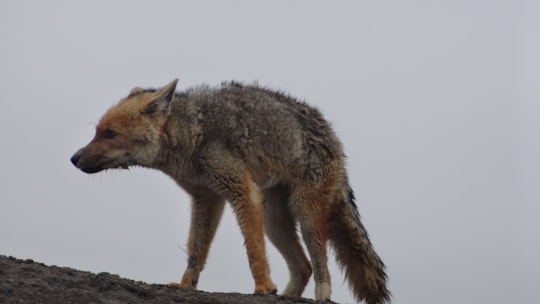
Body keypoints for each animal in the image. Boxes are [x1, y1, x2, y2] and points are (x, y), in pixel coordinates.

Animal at [71, 79, 390, 304]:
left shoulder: (242, 192)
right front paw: (186, 285)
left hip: (305, 214)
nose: (73, 158)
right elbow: (195, 250)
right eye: (96, 132)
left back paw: (320, 296)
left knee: (319, 263)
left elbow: (253, 251)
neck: (193, 137)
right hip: (275, 222)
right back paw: (288, 295)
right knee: (303, 266)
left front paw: (263, 287)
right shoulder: (206, 199)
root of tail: (331, 132)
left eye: (109, 134)